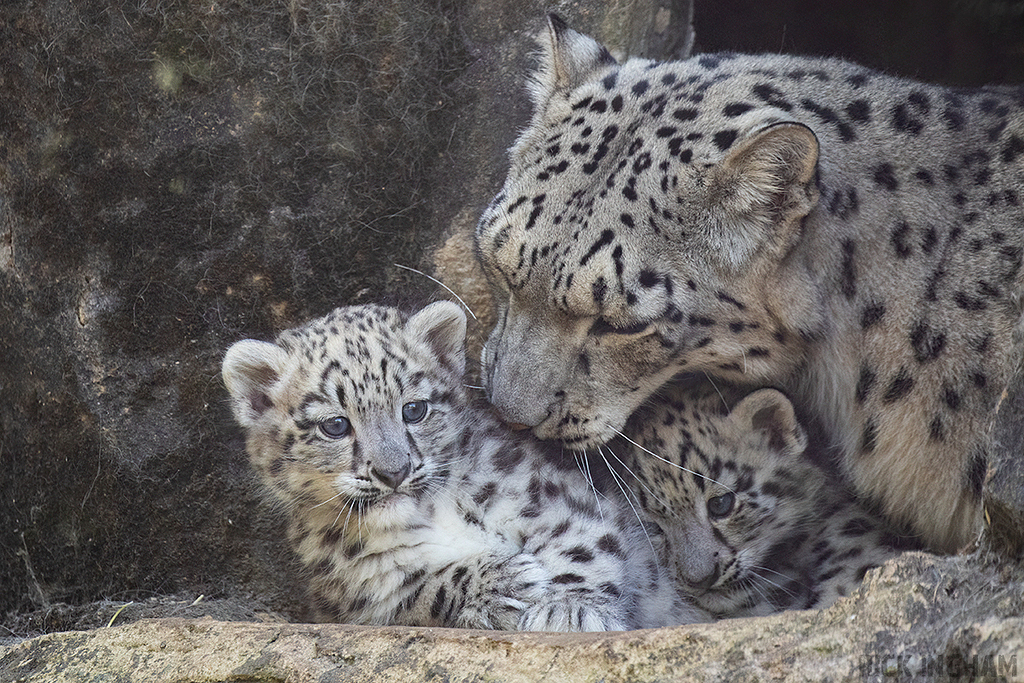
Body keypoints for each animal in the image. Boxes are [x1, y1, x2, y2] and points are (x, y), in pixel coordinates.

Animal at [222, 300, 706, 631]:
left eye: (414, 409)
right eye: (336, 425)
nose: (393, 471)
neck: (432, 514)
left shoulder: (558, 500)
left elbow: (582, 546)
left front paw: (568, 612)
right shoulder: (360, 588)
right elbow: (420, 591)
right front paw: (504, 582)